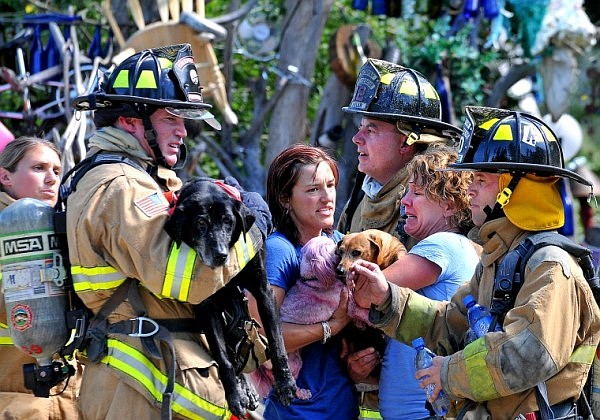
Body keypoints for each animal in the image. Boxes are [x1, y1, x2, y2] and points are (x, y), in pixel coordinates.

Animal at [164, 177, 298, 416]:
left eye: (228, 221)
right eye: (200, 223)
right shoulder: (207, 307)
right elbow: (223, 358)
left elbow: (276, 341)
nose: (221, 255)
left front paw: (286, 383)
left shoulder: (264, 292)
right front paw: (235, 395)